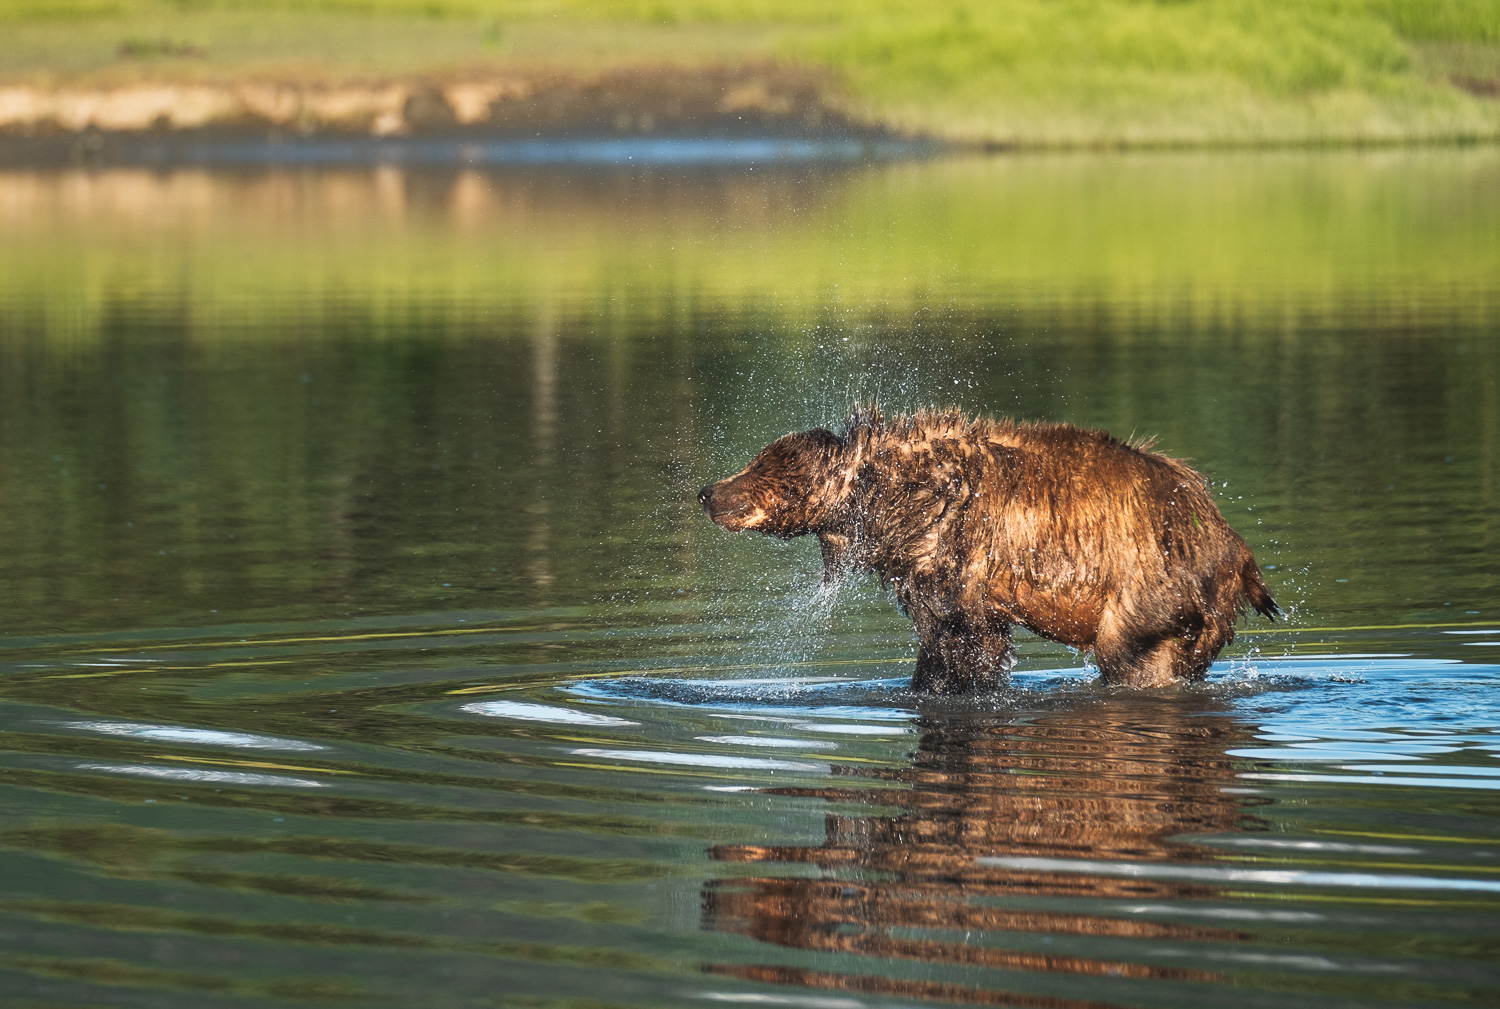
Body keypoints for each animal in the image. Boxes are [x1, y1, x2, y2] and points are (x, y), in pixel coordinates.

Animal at [699, 404, 1278, 689]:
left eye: (758, 466)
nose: (707, 492)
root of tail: (1236, 552)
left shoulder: (953, 556)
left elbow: (963, 645)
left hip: (1148, 582)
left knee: (1132, 657)